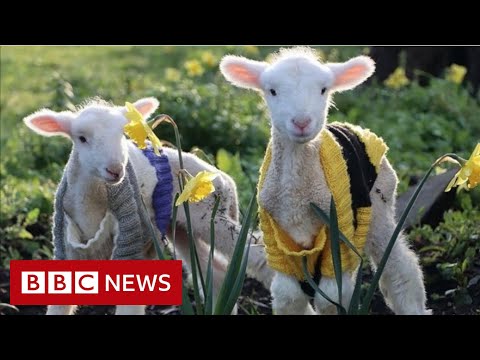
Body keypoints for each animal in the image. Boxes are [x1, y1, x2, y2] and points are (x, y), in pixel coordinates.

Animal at [220, 47, 432, 316]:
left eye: (323, 89)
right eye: (272, 91)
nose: (301, 122)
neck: (296, 197)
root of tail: (354, 127)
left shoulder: (338, 232)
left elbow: (331, 297)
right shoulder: (277, 238)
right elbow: (288, 296)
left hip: (379, 206)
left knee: (399, 264)